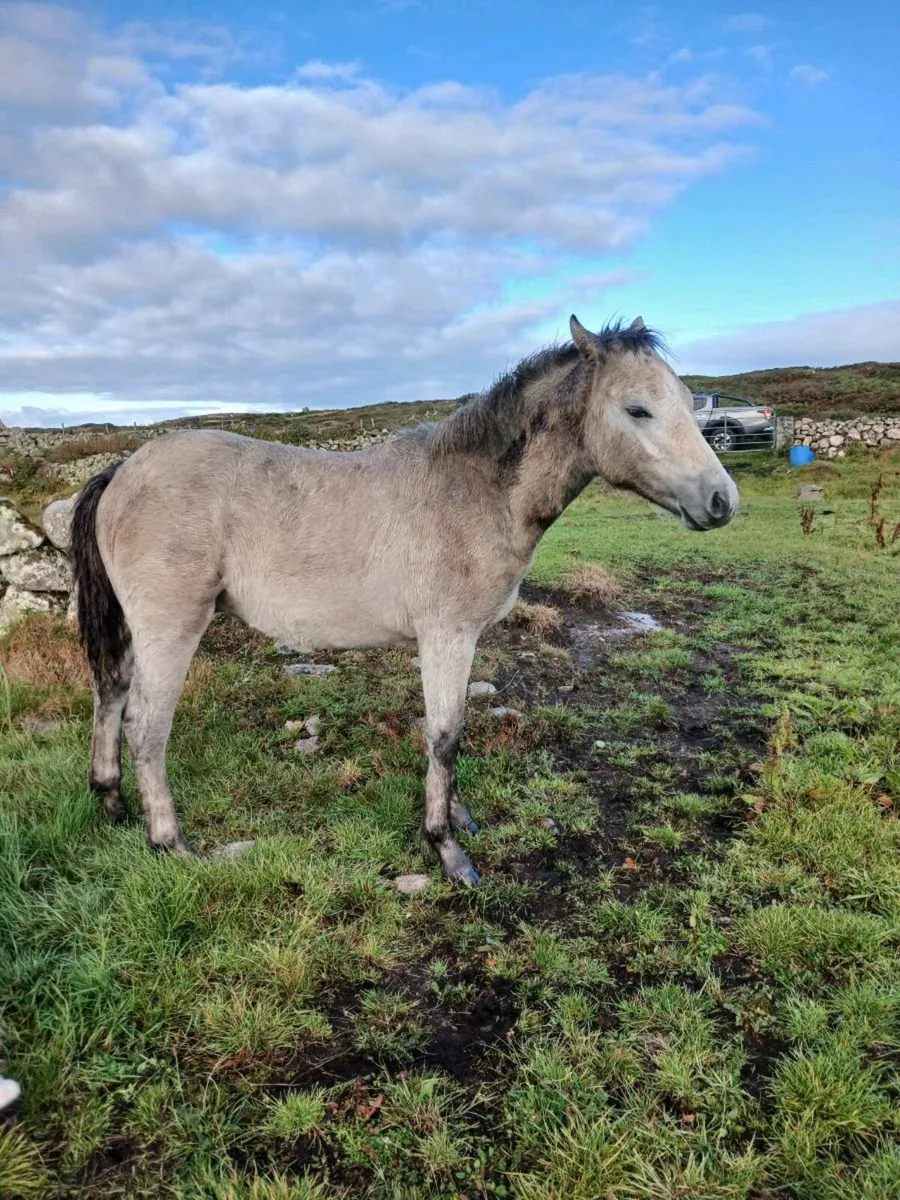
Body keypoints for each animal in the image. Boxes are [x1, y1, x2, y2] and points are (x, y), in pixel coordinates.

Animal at [71, 316, 738, 885]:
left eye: (688, 404)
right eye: (637, 409)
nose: (721, 501)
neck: (471, 491)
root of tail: (122, 471)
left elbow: (448, 730)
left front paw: (459, 817)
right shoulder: (447, 636)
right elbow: (446, 734)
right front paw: (446, 848)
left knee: (110, 696)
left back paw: (112, 804)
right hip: (171, 629)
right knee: (146, 728)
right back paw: (171, 842)